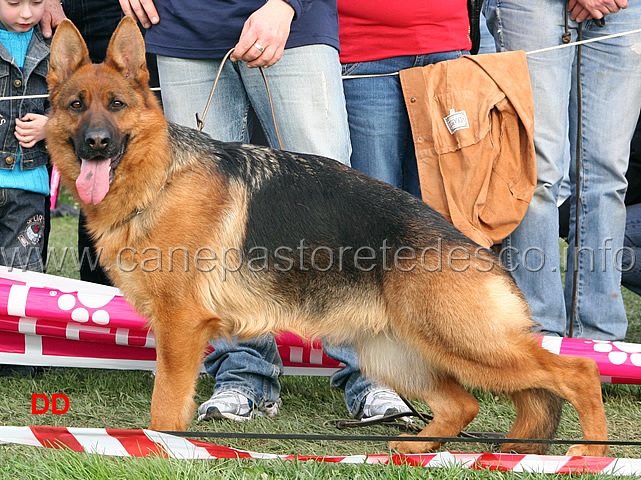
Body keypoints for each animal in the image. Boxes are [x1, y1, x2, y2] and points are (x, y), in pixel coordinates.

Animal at [45, 16, 604, 456]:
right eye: (76, 105)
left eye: (117, 104)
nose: (97, 144)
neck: (158, 179)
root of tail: (476, 249)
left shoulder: (181, 327)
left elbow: (164, 405)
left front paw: (158, 449)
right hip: (399, 352)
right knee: (464, 403)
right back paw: (415, 450)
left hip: (467, 343)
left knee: (578, 372)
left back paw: (589, 453)